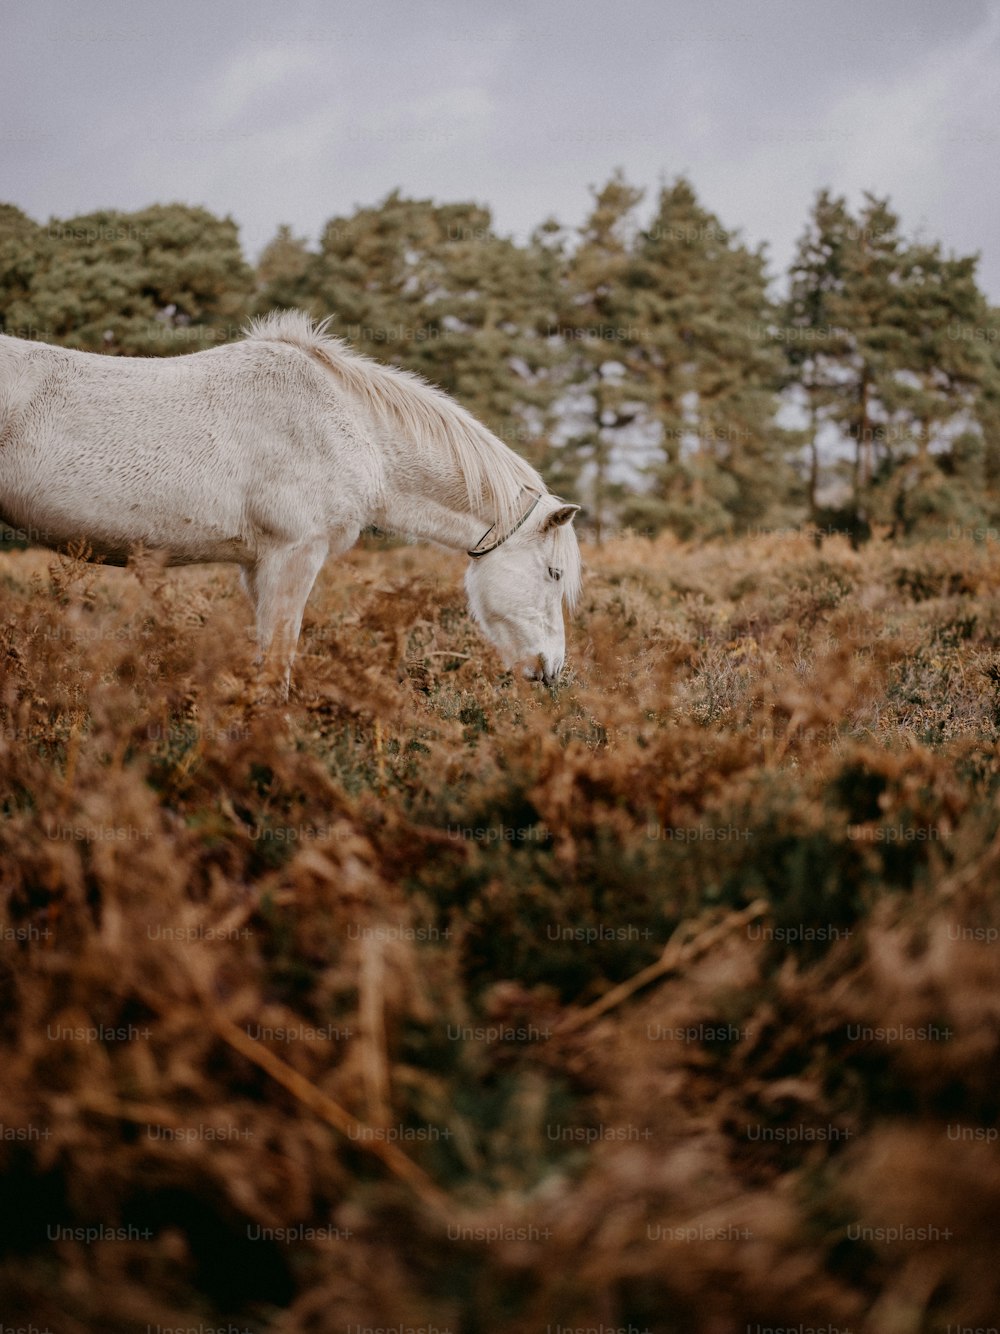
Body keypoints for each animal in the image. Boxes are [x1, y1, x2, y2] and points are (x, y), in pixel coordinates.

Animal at [0, 310, 584, 688]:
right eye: (553, 574)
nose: (552, 671)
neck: (349, 426)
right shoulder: (293, 556)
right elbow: (277, 666)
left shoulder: (258, 567)